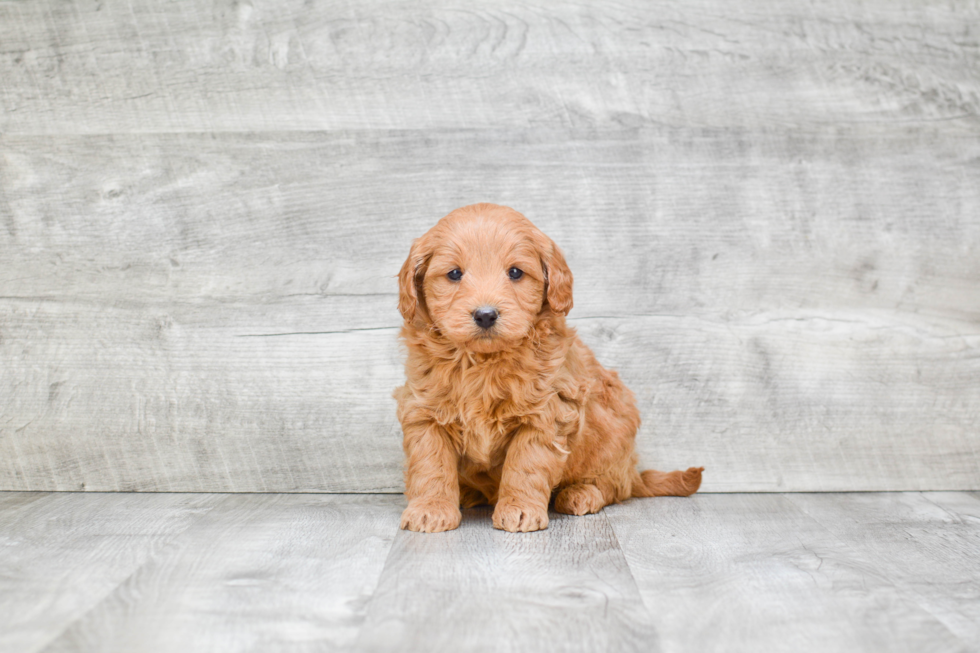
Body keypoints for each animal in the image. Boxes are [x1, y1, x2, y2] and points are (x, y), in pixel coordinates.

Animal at [394, 202, 700, 528]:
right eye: (454, 274)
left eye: (516, 272)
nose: (486, 315)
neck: (485, 362)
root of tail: (633, 470)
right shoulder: (423, 410)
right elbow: (431, 463)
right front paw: (431, 508)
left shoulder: (547, 412)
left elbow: (526, 464)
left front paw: (520, 509)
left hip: (612, 437)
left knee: (615, 486)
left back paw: (582, 493)